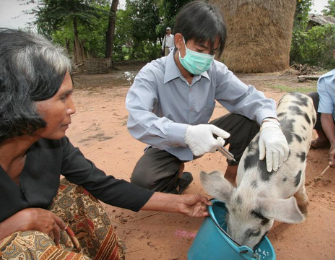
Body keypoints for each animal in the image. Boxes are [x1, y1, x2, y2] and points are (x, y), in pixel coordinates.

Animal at [202, 92, 318, 249]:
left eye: (255, 231)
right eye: (227, 219)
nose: (238, 246)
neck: (255, 186)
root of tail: (299, 93)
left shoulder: (298, 180)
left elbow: (301, 195)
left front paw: (304, 217)